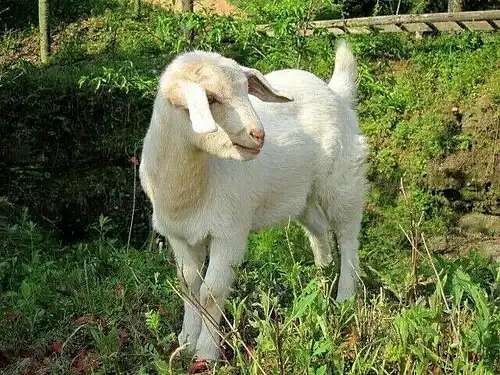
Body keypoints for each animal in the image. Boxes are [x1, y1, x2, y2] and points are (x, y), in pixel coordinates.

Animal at [139, 40, 370, 364]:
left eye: (245, 90)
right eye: (210, 98)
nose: (258, 135)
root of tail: (336, 92)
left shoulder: (230, 232)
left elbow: (211, 292)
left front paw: (206, 352)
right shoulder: (179, 236)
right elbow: (188, 286)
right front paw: (185, 340)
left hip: (342, 178)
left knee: (348, 232)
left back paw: (345, 296)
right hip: (300, 193)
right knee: (318, 228)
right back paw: (321, 276)